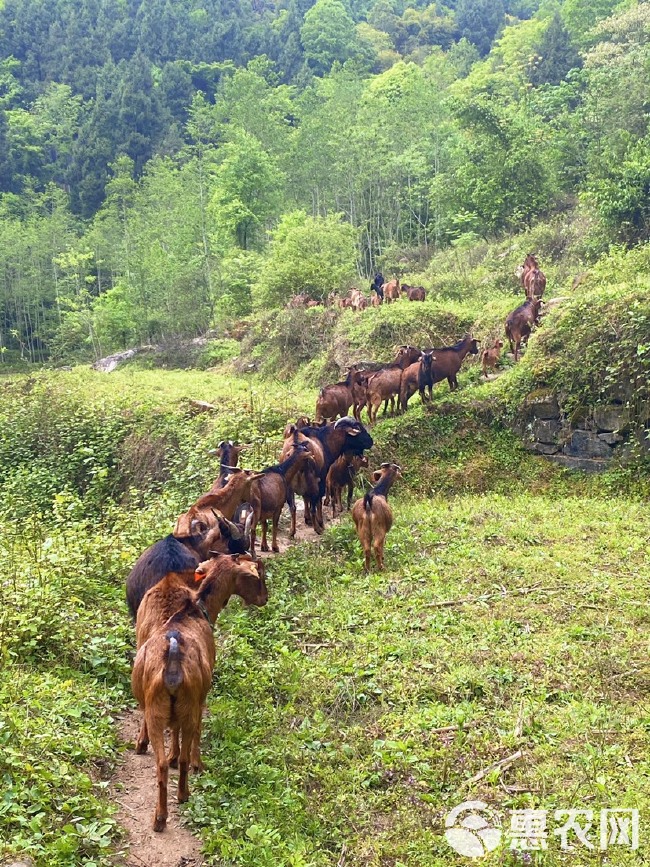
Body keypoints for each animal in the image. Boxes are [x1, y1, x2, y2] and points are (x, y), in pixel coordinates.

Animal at [132, 556, 266, 836]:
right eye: (256, 577)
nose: (264, 599)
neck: (193, 610)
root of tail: (172, 659)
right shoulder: (200, 697)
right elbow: (195, 734)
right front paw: (198, 764)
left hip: (156, 707)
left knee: (160, 763)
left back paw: (159, 816)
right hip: (188, 706)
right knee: (186, 748)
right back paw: (183, 792)